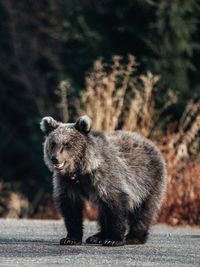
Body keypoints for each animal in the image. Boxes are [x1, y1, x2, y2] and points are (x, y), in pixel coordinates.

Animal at [39, 115, 166, 247]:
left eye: (67, 144)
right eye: (53, 143)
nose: (55, 158)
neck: (81, 169)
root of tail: (149, 142)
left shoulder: (106, 177)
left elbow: (115, 205)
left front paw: (114, 239)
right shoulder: (66, 181)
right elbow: (71, 207)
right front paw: (70, 238)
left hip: (148, 180)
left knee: (143, 210)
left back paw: (134, 237)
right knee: (103, 211)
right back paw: (97, 237)